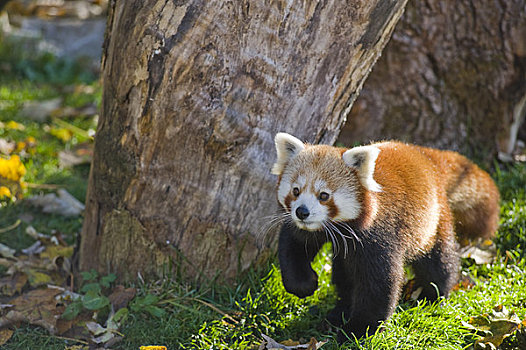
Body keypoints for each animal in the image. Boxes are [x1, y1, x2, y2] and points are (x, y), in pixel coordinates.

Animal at [274, 133, 502, 340]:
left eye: (324, 195)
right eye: (296, 191)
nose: (302, 212)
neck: (343, 228)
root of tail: (425, 156)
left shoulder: (379, 236)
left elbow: (379, 284)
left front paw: (358, 330)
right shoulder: (313, 229)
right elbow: (293, 245)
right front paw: (305, 284)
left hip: (433, 220)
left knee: (439, 262)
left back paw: (431, 295)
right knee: (344, 274)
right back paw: (338, 312)